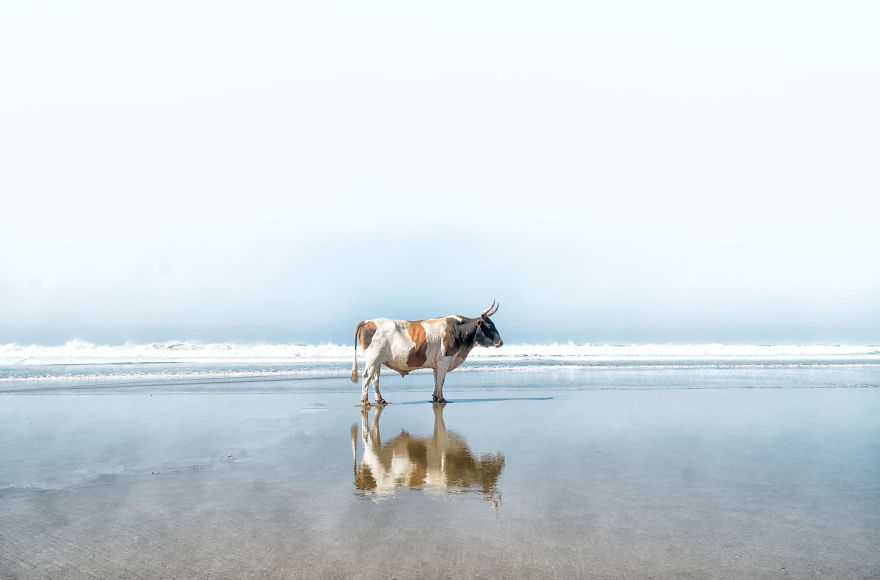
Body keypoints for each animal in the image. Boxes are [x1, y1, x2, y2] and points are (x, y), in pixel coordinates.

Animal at [351, 301, 503, 405]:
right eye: (489, 325)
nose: (500, 342)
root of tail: (369, 321)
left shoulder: (437, 363)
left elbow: (437, 380)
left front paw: (435, 398)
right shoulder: (444, 361)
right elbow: (441, 380)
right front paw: (441, 398)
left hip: (378, 361)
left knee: (375, 379)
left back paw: (380, 400)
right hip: (373, 358)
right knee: (366, 376)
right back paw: (365, 401)